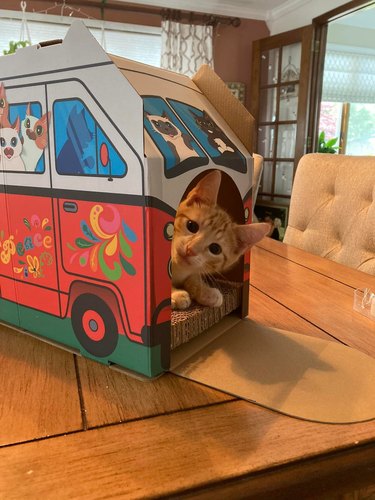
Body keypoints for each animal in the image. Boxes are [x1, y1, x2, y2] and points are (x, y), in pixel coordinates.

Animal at [172, 170, 272, 308]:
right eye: (191, 226)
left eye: (215, 249)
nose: (190, 250)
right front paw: (175, 294)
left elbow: (193, 276)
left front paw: (206, 291)